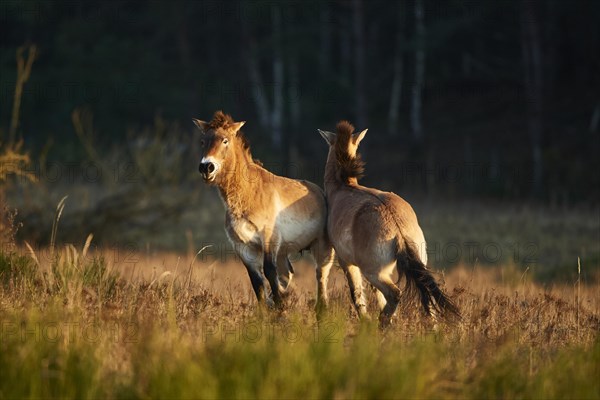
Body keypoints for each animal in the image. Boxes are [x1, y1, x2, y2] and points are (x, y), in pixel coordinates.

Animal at [195, 110, 336, 310]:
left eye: (225, 140)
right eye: (202, 141)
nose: (206, 167)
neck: (249, 194)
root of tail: (320, 193)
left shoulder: (269, 240)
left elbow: (269, 272)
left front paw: (280, 307)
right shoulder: (243, 248)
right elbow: (257, 283)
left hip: (322, 248)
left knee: (321, 276)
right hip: (284, 252)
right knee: (287, 275)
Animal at [318, 122, 460, 328]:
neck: (342, 187)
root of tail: (397, 228)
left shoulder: (348, 263)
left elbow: (357, 294)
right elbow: (376, 296)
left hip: (374, 272)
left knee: (395, 294)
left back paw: (382, 325)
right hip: (413, 266)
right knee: (427, 300)